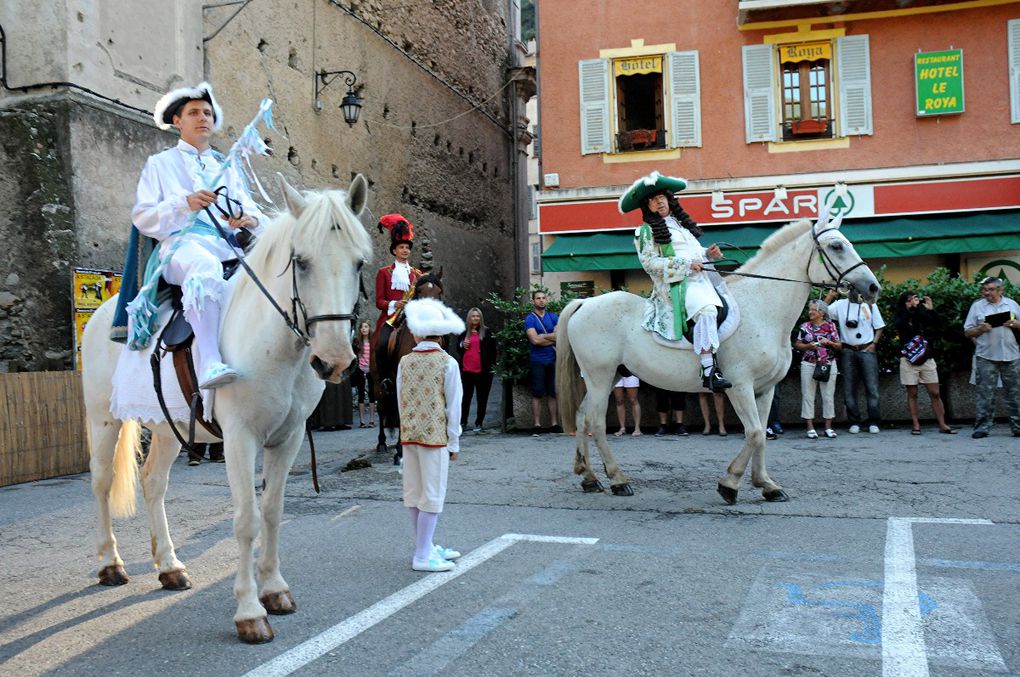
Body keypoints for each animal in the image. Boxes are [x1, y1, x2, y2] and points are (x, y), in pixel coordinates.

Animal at [79, 173, 373, 640]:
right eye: (301, 262)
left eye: (359, 263)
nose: (335, 360)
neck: (275, 344)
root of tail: (105, 314)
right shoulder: (239, 439)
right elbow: (247, 520)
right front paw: (250, 610)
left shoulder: (287, 439)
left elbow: (272, 511)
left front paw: (275, 590)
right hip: (103, 420)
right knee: (102, 482)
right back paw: (110, 563)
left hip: (167, 430)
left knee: (153, 483)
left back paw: (169, 566)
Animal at [371, 271, 442, 460]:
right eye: (419, 291)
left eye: (439, 292)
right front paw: (400, 450)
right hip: (377, 382)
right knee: (381, 408)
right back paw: (381, 443)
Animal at [554, 173, 881, 501]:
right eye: (837, 246)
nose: (873, 288)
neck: (763, 307)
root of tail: (584, 303)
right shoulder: (741, 385)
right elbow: (754, 433)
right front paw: (730, 483)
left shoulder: (765, 389)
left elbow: (762, 435)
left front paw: (766, 484)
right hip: (600, 376)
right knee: (595, 422)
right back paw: (618, 480)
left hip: (608, 377)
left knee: (582, 417)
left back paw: (588, 477)